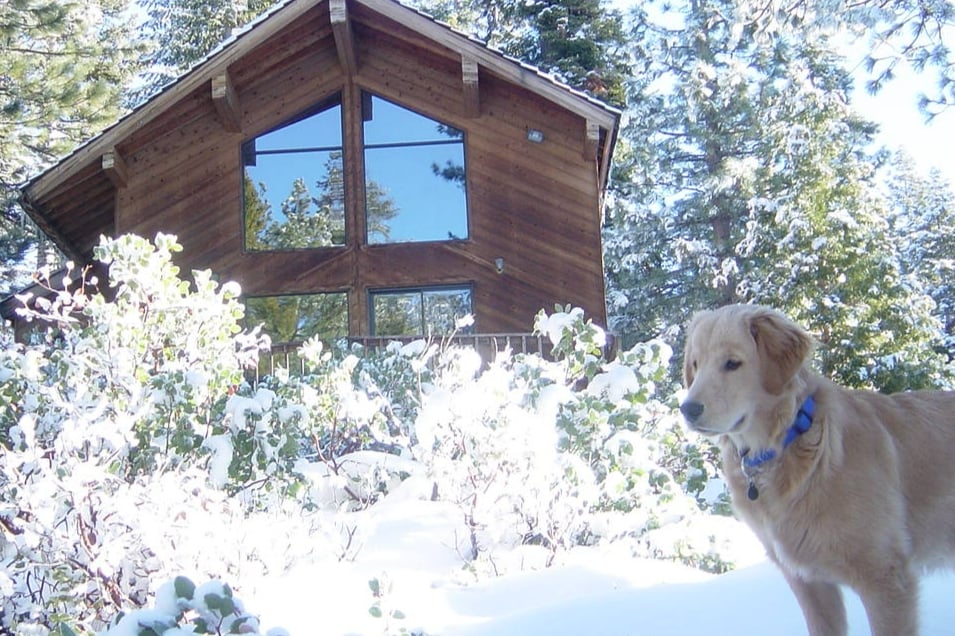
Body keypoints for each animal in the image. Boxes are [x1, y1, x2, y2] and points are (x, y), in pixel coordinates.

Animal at [680, 304, 955, 636]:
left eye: (732, 363)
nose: (687, 410)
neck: (786, 441)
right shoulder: (810, 583)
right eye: (696, 364)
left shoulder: (885, 578)